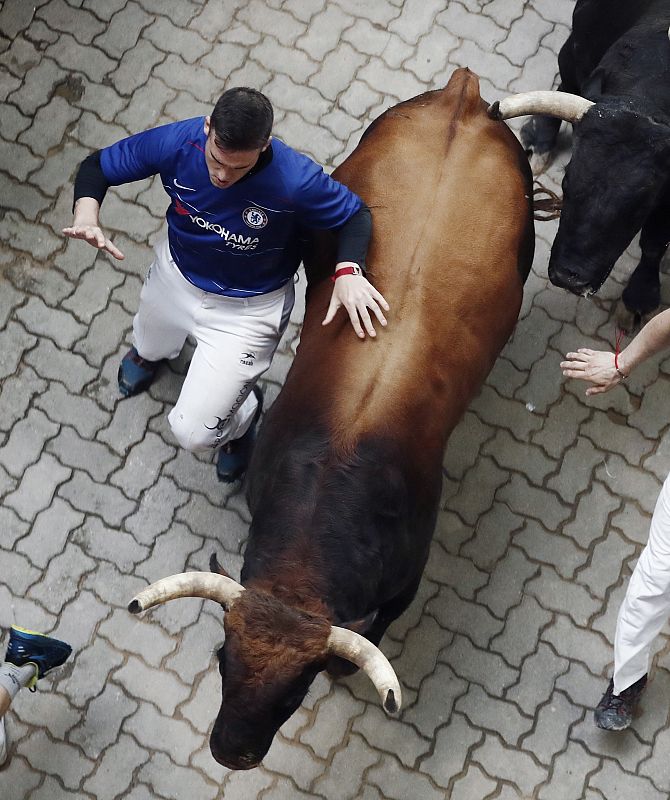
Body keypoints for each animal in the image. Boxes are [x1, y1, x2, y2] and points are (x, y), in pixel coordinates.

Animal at [127, 69, 536, 768]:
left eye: (297, 690)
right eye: (222, 658)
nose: (231, 752)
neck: (330, 488)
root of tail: (462, 95)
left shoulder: (404, 586)